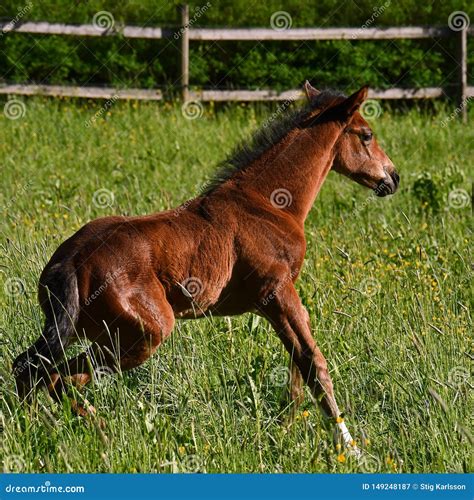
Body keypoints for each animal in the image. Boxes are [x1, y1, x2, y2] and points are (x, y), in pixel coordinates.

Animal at [12, 83, 398, 458]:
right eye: (366, 134)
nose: (392, 177)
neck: (267, 203)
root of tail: (70, 261)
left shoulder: (272, 305)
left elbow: (296, 367)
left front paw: (285, 430)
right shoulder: (278, 292)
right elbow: (313, 363)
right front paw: (350, 448)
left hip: (76, 329)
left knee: (29, 367)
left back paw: (36, 430)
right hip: (141, 335)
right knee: (58, 378)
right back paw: (97, 431)